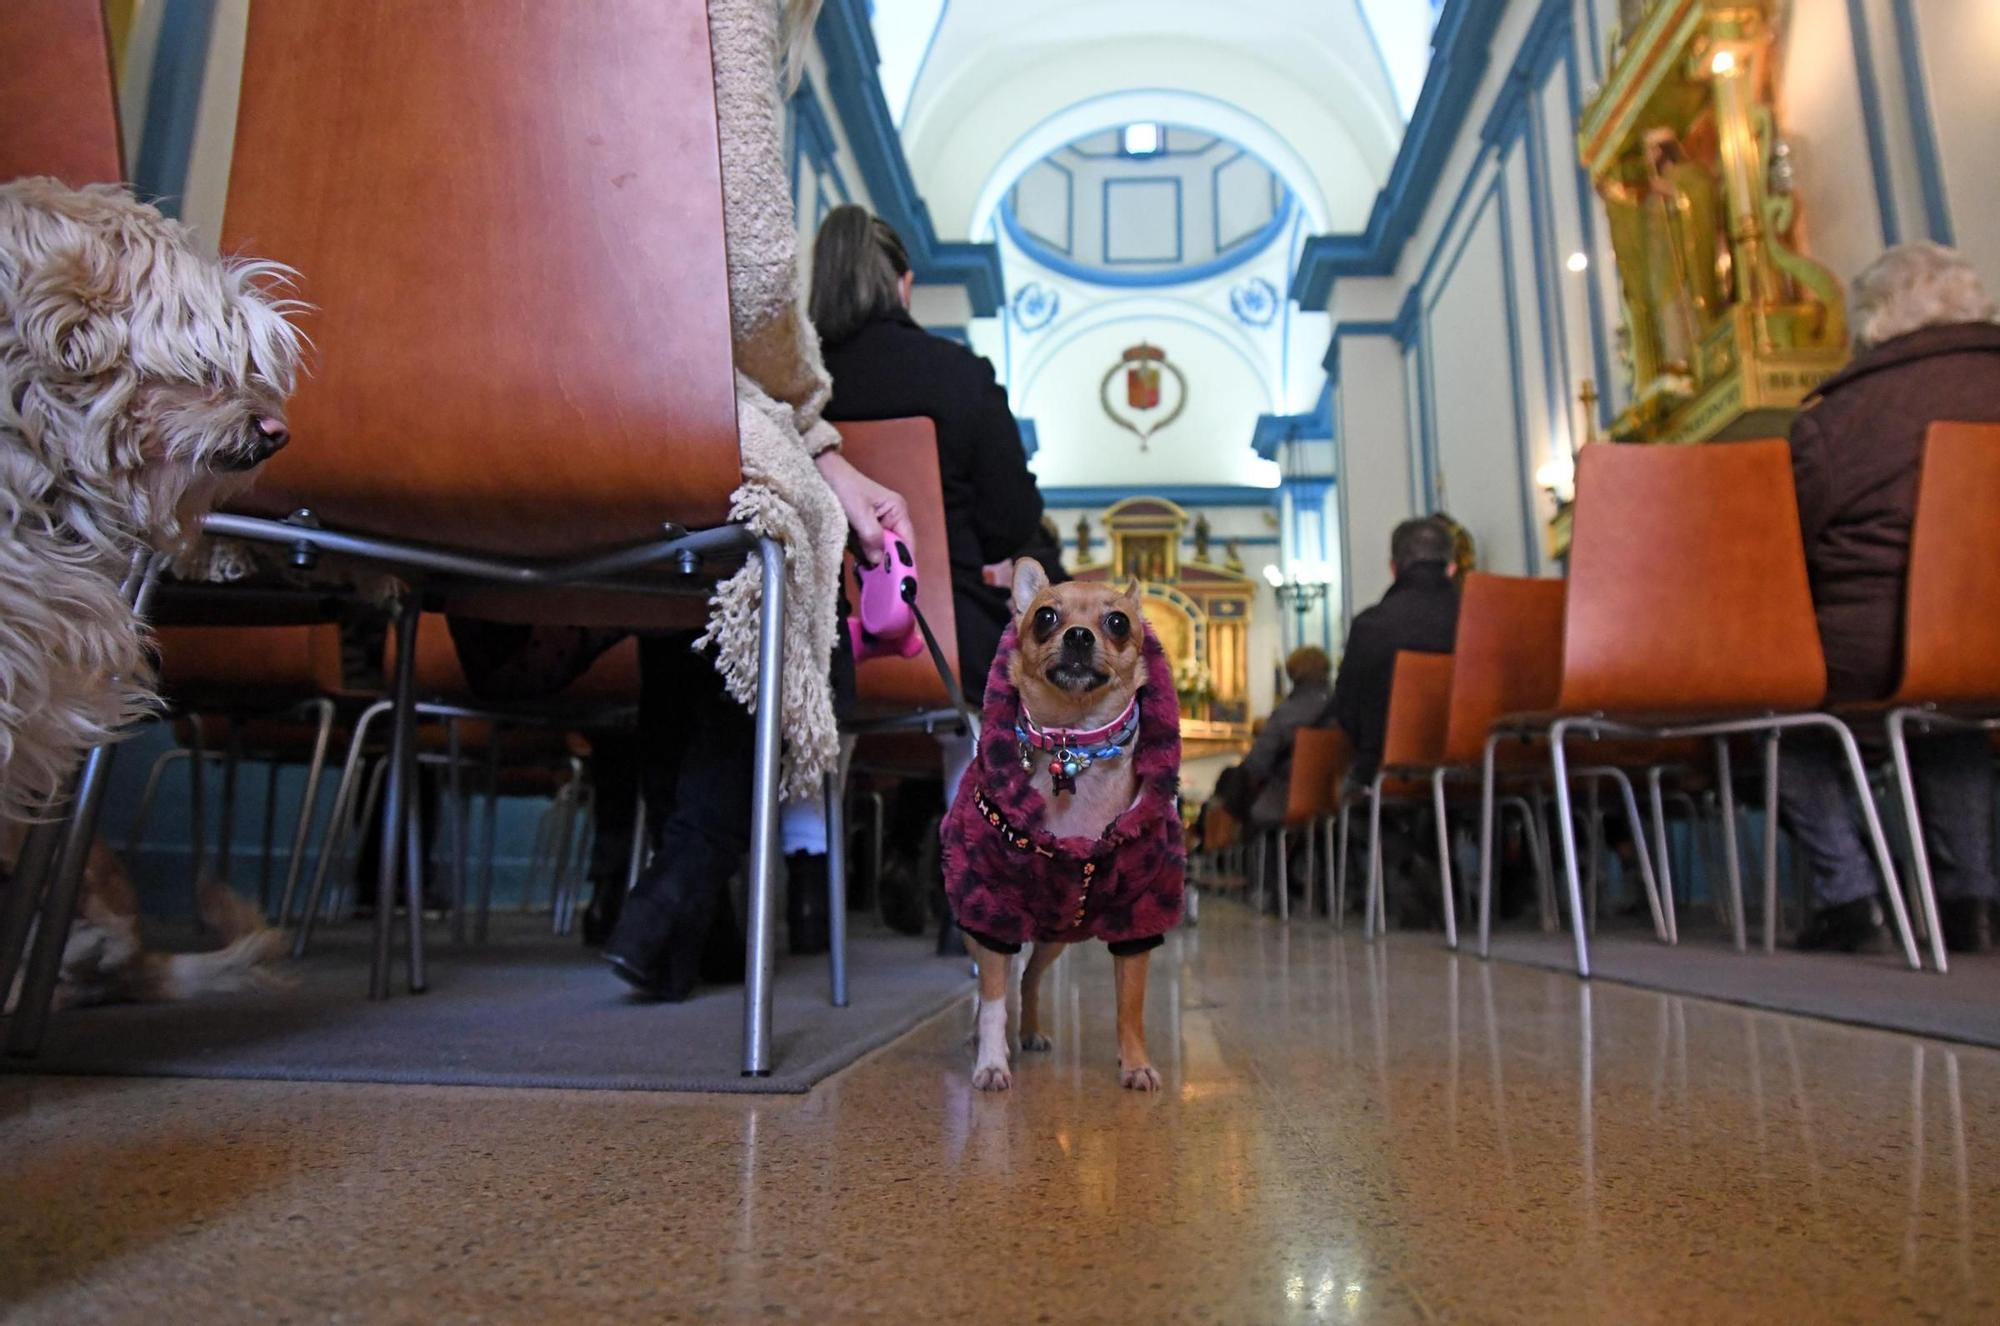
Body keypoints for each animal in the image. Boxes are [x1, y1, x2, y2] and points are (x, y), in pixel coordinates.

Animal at [940, 556, 1184, 1088]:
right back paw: (981, 1037)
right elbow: (994, 999)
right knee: (998, 985)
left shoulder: (1136, 918)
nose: (1077, 636)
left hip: (1055, 939)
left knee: (1030, 978)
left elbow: (1130, 1005)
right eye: (1046, 617)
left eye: (1118, 623)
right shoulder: (992, 912)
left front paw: (1135, 1064)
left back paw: (1030, 1031)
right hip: (979, 925)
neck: (1073, 747)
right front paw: (992, 1061)